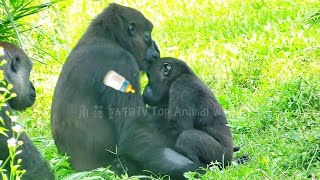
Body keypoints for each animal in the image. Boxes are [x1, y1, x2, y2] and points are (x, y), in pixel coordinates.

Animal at [51, 3, 199, 179]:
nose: (156, 45)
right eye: (148, 35)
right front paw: (193, 169)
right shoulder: (121, 62)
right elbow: (135, 132)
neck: (108, 37)